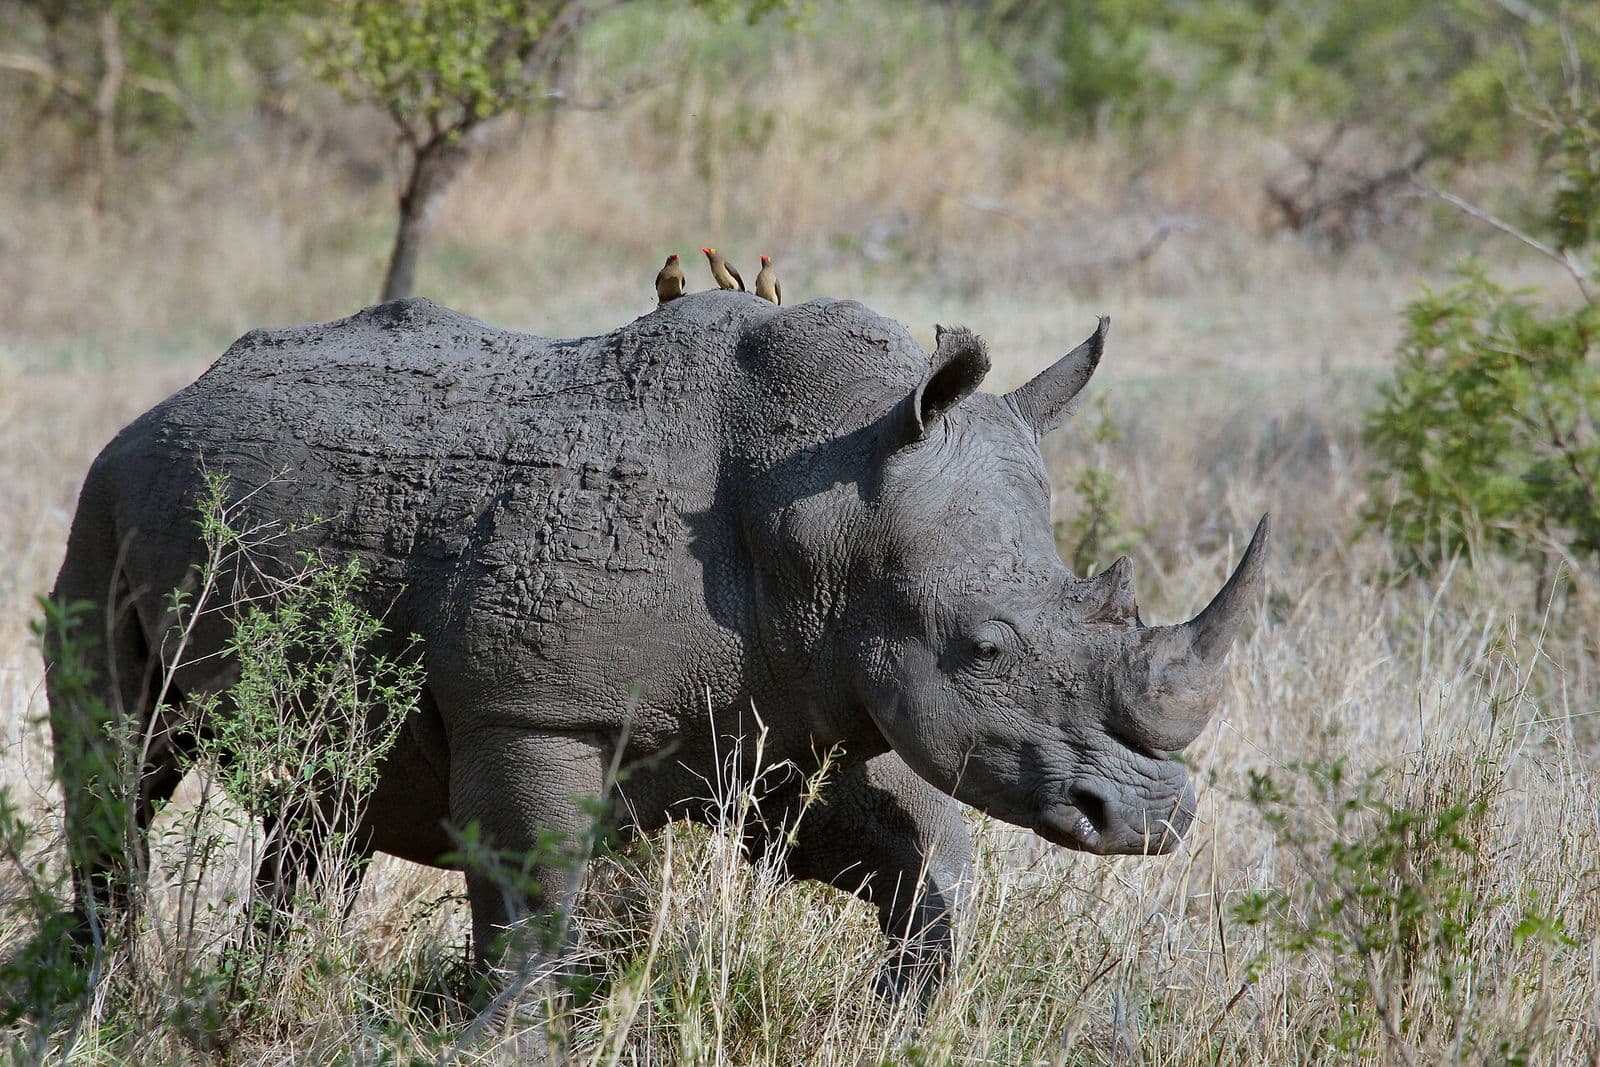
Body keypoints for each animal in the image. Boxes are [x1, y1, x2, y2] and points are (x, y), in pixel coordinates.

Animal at [45, 291, 1267, 1001]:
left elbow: (923, 858)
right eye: (984, 645)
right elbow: (534, 902)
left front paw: (899, 1016)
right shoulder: (534, 709)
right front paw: (505, 1034)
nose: (1152, 820)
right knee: (120, 760)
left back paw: (249, 997)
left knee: (323, 805)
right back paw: (94, 1000)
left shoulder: (793, 703)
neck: (827, 506)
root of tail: (175, 394)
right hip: (103, 495)